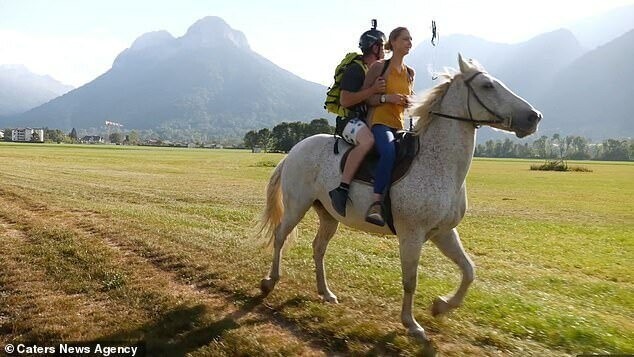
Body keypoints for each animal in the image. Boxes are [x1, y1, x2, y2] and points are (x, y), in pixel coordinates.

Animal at [256, 54, 540, 340]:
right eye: (487, 85)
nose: (534, 116)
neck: (438, 164)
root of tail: (295, 150)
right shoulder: (411, 235)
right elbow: (410, 280)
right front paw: (412, 324)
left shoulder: (443, 232)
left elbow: (469, 270)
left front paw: (441, 306)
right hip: (297, 206)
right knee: (280, 236)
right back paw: (270, 281)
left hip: (328, 214)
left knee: (318, 248)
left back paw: (325, 292)